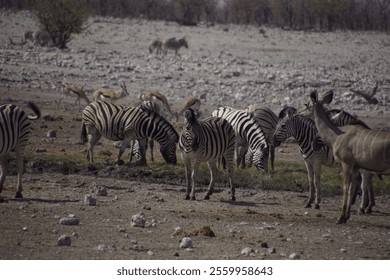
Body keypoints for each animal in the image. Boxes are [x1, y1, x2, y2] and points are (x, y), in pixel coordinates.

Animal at [310, 91, 388, 224]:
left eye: (309, 106)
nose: (314, 144)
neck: (337, 135)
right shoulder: (356, 167)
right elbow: (352, 188)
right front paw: (347, 216)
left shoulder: (346, 163)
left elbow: (346, 188)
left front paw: (341, 217)